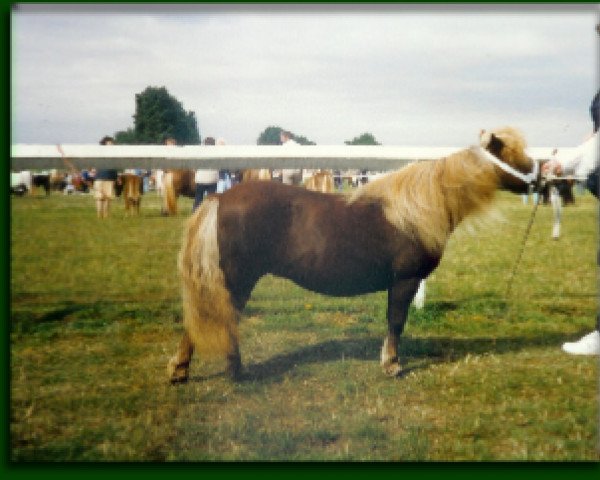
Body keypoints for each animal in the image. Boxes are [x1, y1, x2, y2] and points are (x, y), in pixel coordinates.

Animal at [169, 126, 540, 382]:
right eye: (512, 154)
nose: (541, 177)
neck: (415, 210)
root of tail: (221, 198)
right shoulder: (404, 281)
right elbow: (396, 321)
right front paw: (392, 364)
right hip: (237, 279)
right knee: (219, 316)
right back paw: (227, 370)